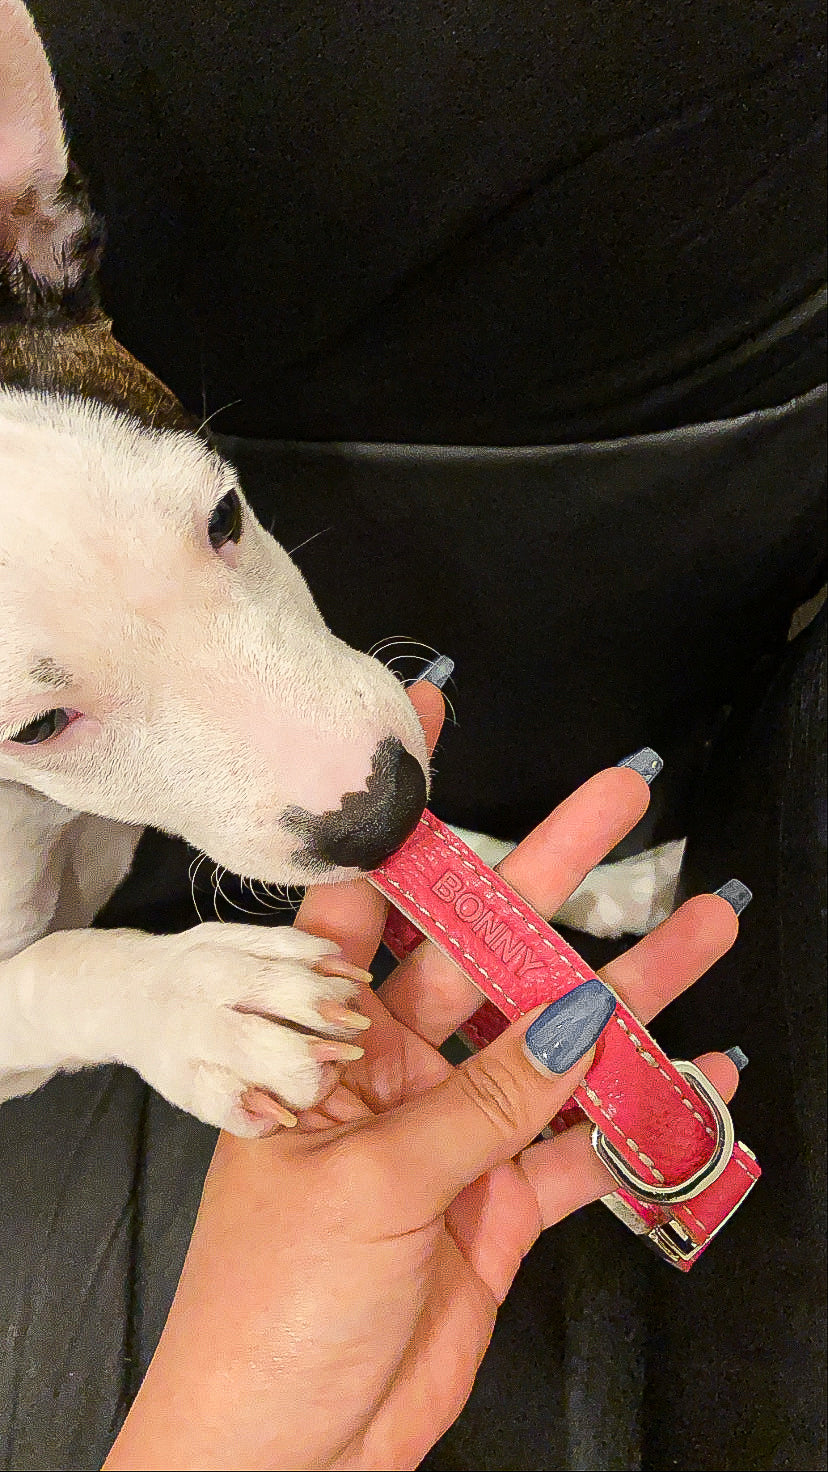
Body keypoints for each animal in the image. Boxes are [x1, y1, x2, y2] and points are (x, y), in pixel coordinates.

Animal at [0, 0, 677, 1136]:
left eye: (226, 514)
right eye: (37, 726)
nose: (382, 813)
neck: (47, 819)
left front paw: (572, 884)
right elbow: (54, 975)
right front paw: (202, 1001)